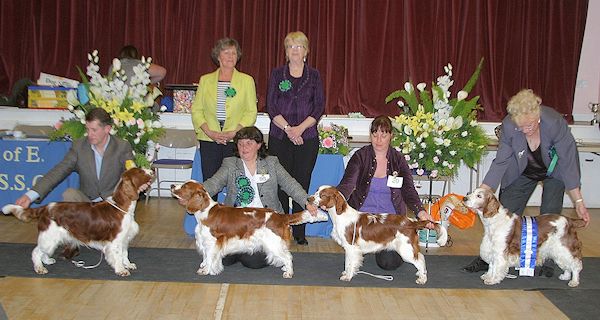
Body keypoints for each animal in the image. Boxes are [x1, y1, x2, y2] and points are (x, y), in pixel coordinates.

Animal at [1, 169, 155, 276]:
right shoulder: (115, 241)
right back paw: (40, 268)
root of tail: (45, 207)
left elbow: (124, 254)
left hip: (53, 237)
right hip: (49, 236)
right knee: (36, 252)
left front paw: (128, 265)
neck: (122, 207)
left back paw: (48, 261)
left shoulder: (124, 239)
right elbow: (117, 256)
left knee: (43, 251)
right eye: (140, 171)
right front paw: (121, 270)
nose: (152, 170)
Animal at [169, 180, 328, 278]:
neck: (205, 212)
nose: (171, 185)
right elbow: (206, 258)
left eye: (184, 186)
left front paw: (206, 270)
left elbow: (209, 258)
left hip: (272, 244)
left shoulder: (211, 242)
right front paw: (205, 268)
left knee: (288, 257)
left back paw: (288, 272)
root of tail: (280, 216)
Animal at [310, 186, 446, 284]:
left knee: (419, 260)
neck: (340, 215)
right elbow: (347, 262)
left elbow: (350, 263)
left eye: (322, 195)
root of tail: (411, 222)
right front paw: (346, 273)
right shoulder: (349, 248)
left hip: (404, 249)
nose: (308, 199)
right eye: (316, 190)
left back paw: (422, 279)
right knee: (420, 257)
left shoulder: (351, 247)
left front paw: (347, 277)